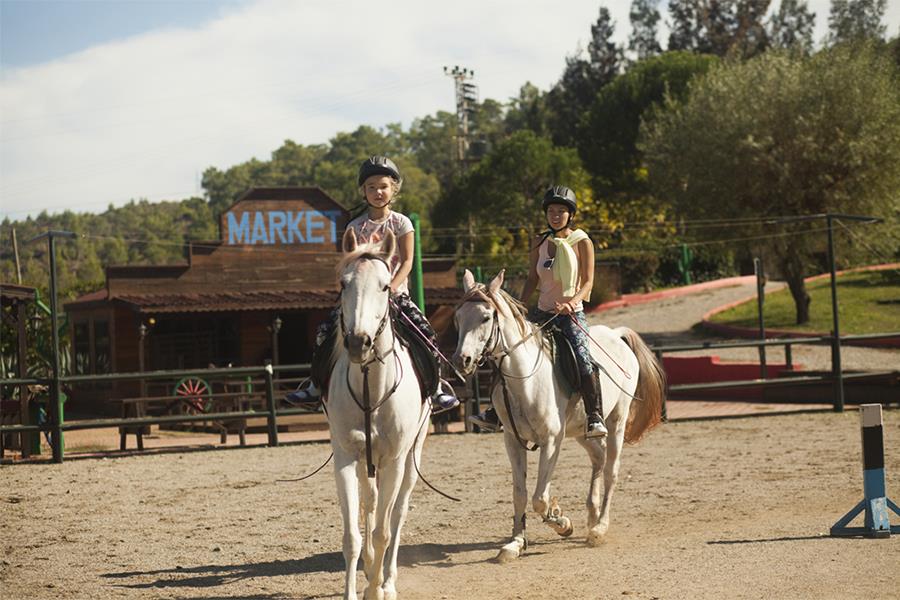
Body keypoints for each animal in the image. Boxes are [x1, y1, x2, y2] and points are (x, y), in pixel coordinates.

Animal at [327, 228, 430, 599]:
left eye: (385, 286)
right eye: (344, 284)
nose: (359, 342)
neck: (371, 389)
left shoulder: (395, 460)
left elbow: (385, 531)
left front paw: (375, 590)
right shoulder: (345, 457)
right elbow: (352, 536)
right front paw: (355, 587)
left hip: (411, 458)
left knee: (397, 513)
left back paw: (387, 580)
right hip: (364, 463)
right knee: (370, 504)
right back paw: (372, 566)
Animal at [452, 269, 665, 561]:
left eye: (485, 317)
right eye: (458, 317)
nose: (462, 360)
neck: (524, 378)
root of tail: (615, 334)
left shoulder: (552, 440)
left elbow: (539, 498)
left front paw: (562, 521)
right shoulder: (513, 440)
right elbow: (520, 494)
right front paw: (515, 543)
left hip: (616, 423)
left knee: (611, 470)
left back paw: (599, 528)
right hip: (581, 431)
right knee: (598, 458)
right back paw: (592, 514)